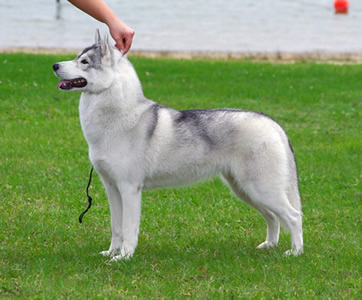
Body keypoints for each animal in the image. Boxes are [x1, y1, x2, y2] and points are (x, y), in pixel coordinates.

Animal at [53, 29, 302, 260]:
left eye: (84, 62)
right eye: (77, 57)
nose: (55, 65)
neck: (117, 117)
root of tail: (272, 123)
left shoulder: (129, 188)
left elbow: (129, 228)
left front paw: (124, 257)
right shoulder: (112, 188)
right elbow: (116, 227)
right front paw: (111, 252)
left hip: (261, 189)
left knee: (293, 216)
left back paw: (295, 252)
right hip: (245, 190)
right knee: (273, 217)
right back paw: (269, 245)